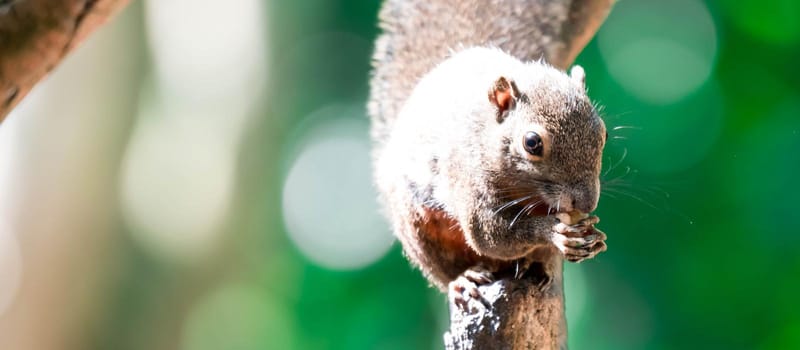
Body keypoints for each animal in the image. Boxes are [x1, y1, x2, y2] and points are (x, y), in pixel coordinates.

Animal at [368, 0, 608, 298]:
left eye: (603, 133)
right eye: (532, 142)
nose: (587, 203)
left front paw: (594, 238)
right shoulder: (468, 181)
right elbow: (490, 234)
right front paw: (552, 231)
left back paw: (536, 265)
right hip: (417, 227)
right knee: (444, 269)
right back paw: (463, 278)